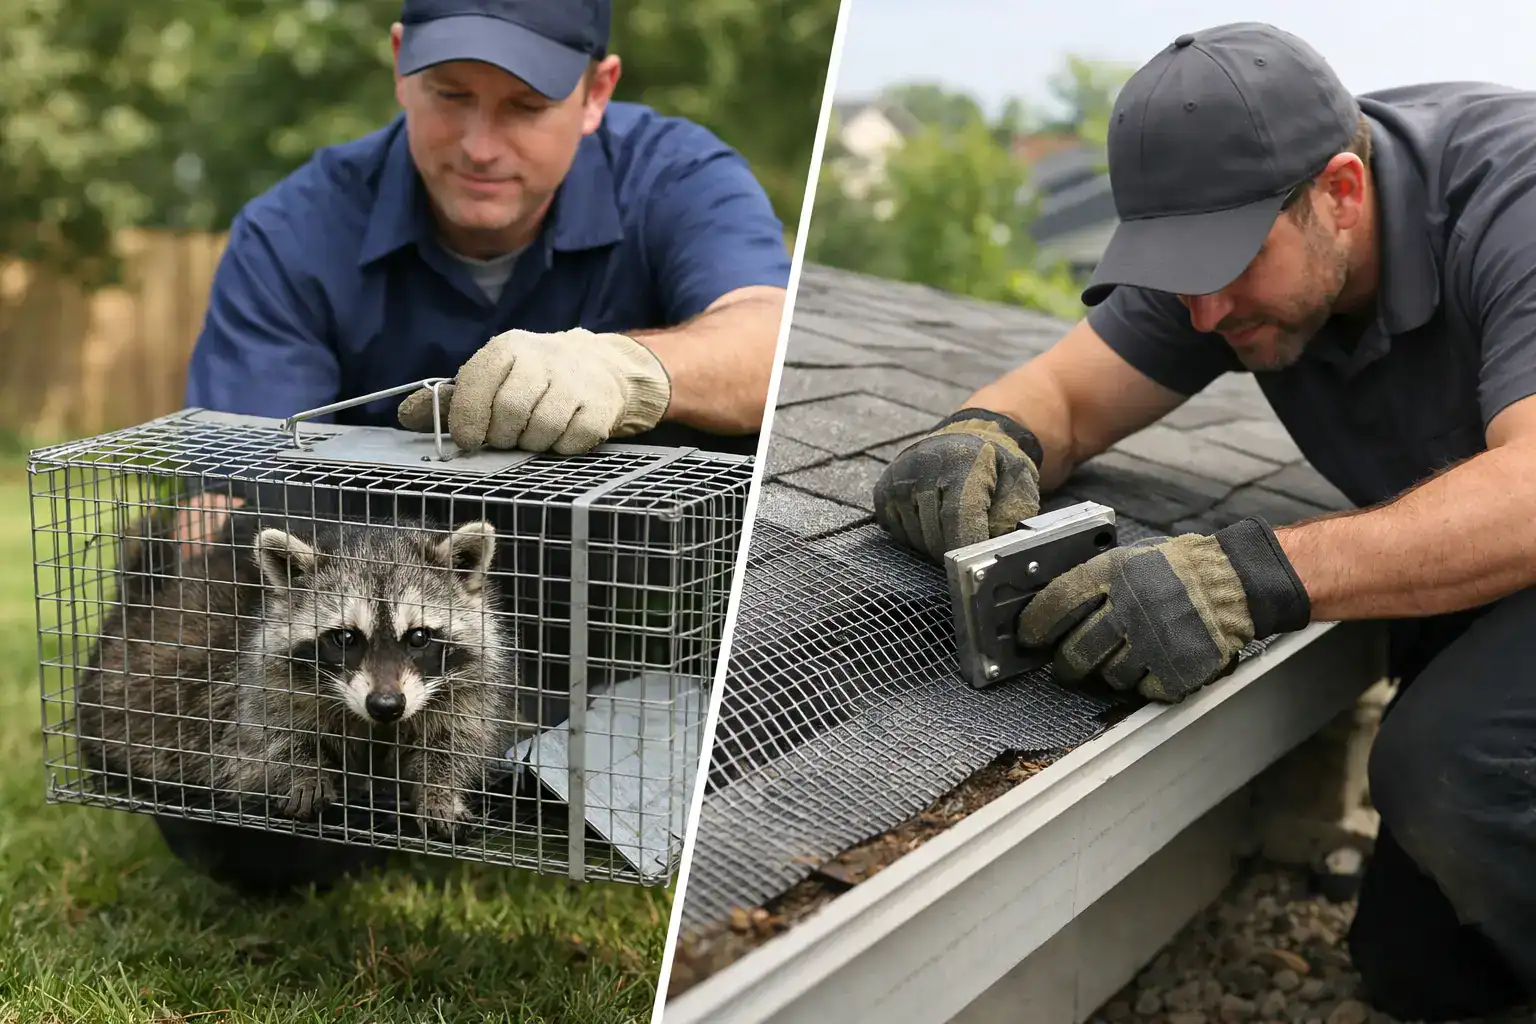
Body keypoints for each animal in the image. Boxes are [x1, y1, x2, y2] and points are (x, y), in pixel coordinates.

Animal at [75, 506, 525, 837]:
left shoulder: (464, 685)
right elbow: (266, 741)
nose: (385, 705)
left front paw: (441, 790)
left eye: (418, 637)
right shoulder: (257, 685)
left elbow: (454, 741)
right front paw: (303, 770)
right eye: (345, 637)